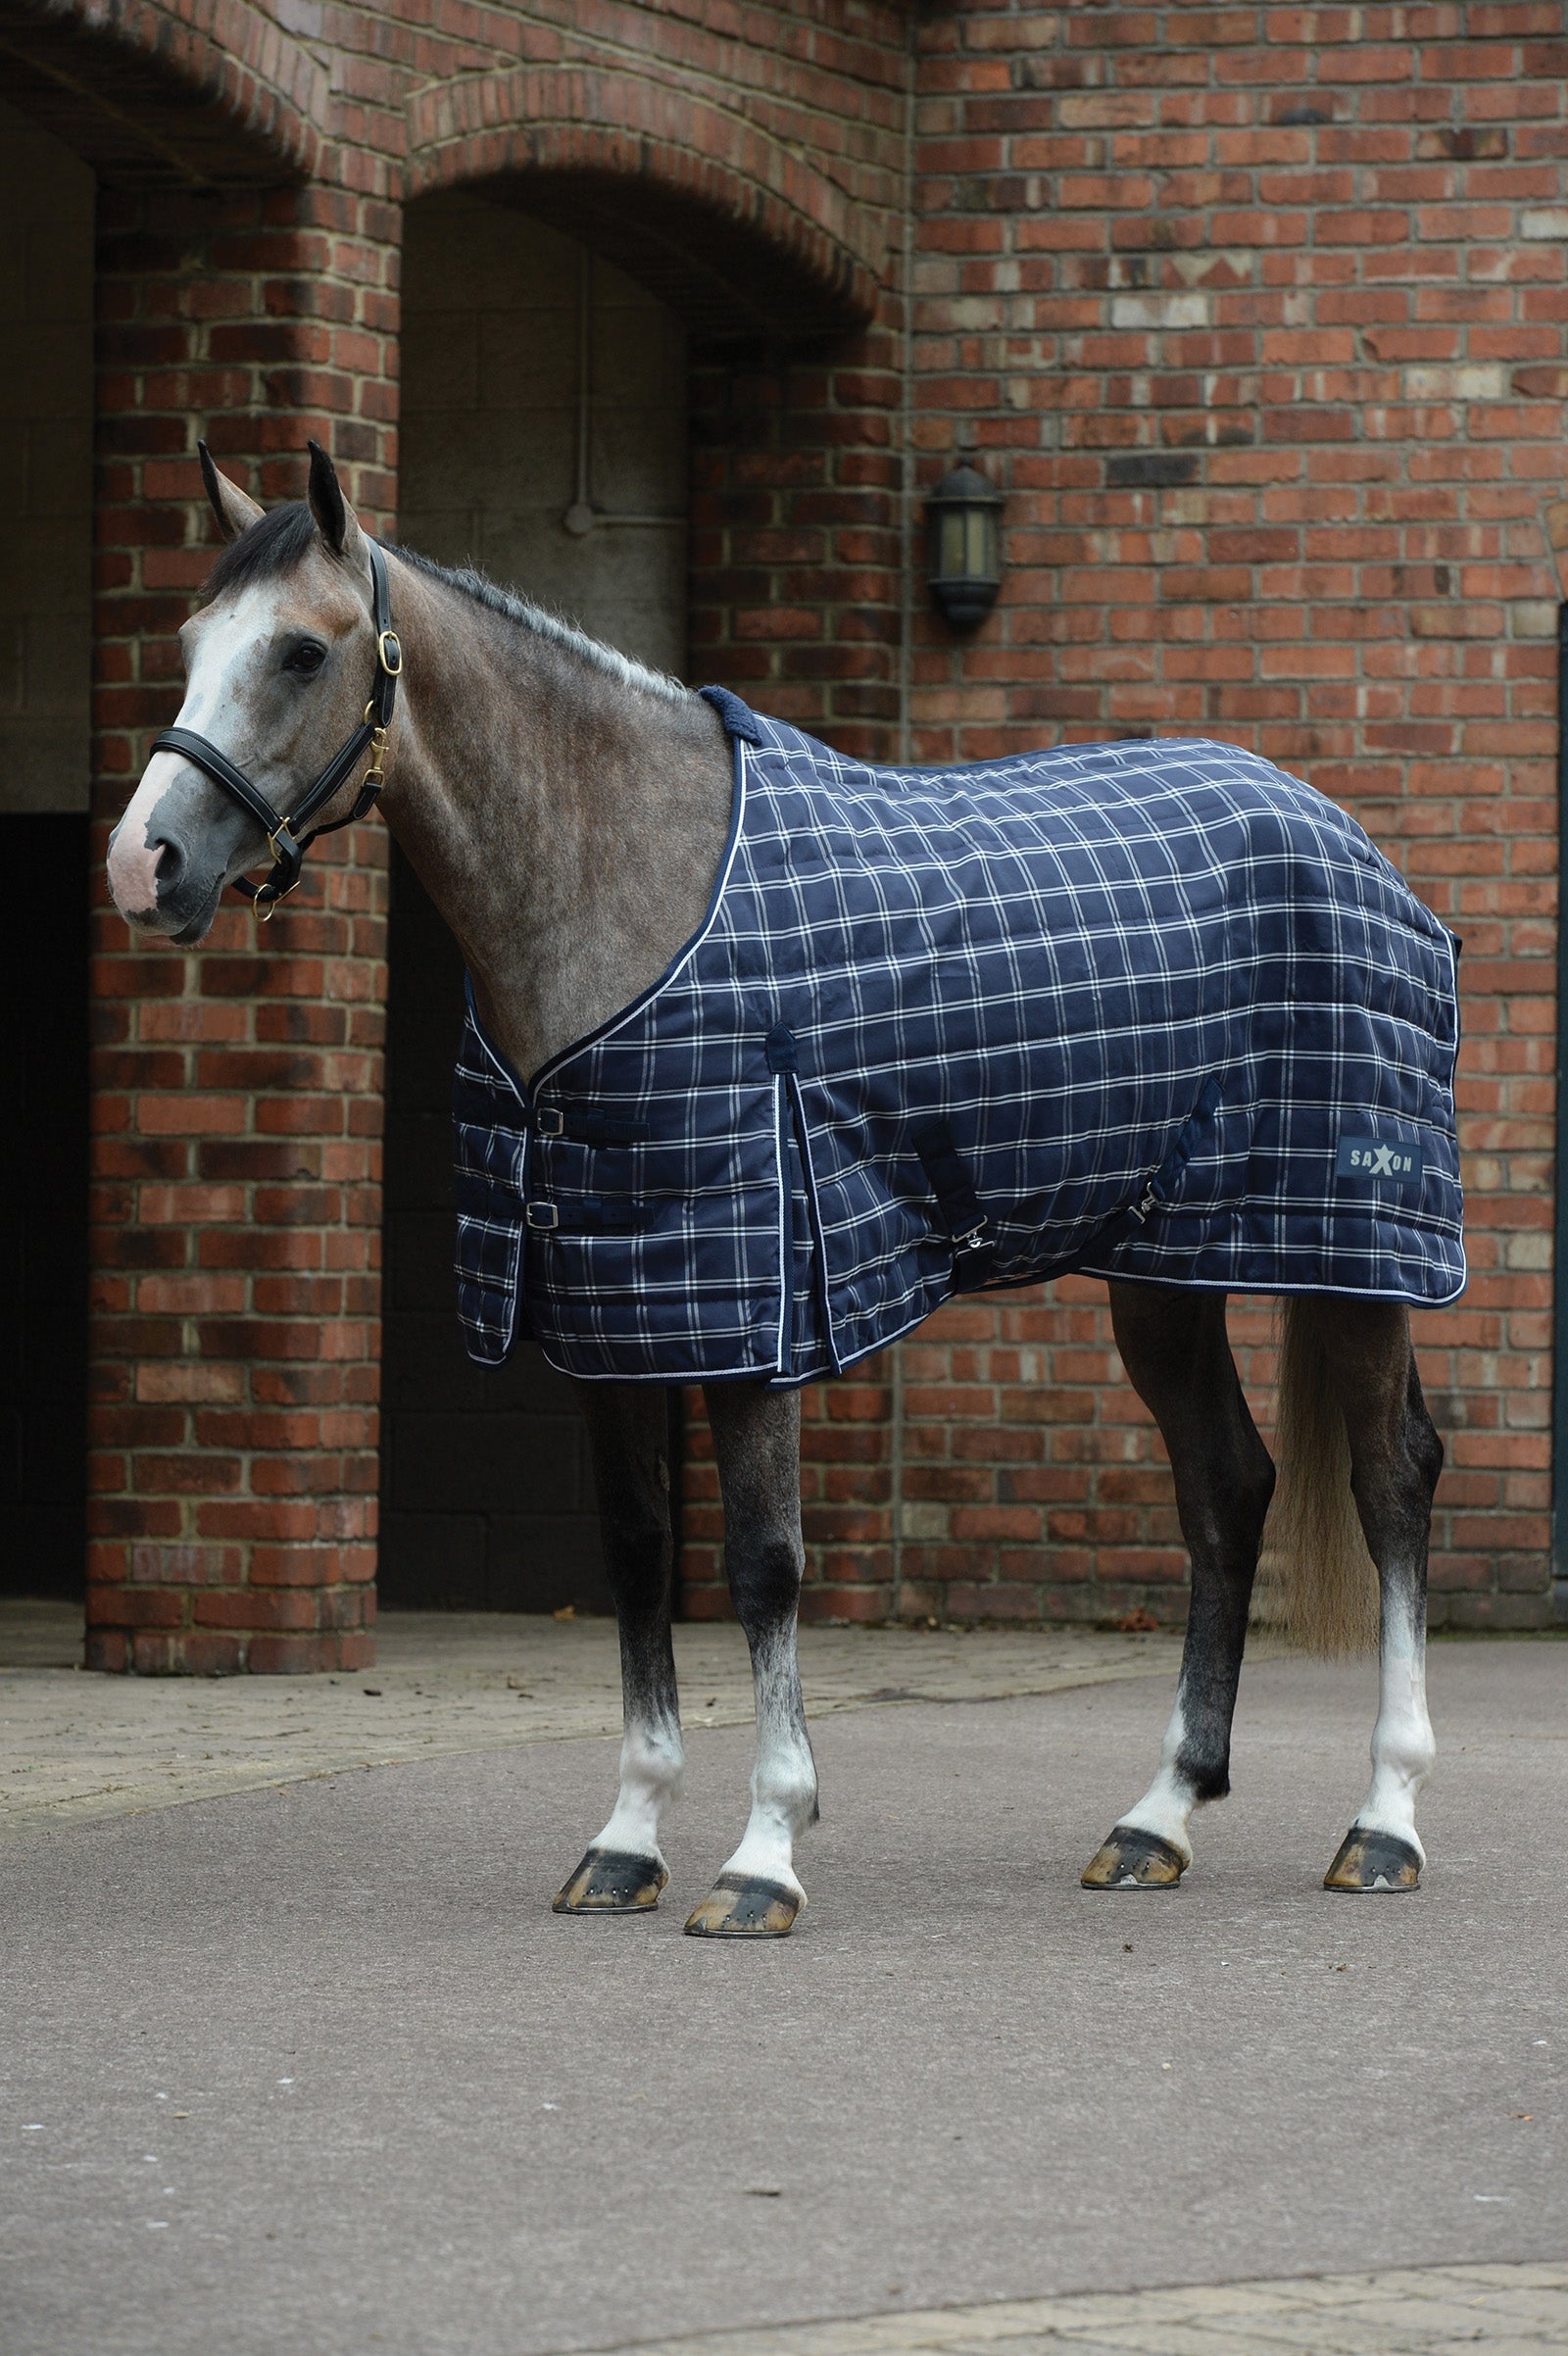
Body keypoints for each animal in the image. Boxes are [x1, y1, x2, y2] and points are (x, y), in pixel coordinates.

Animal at [106, 442, 1458, 1935]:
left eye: (299, 650)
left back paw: (1385, 1822)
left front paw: (763, 1854)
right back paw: (1155, 1819)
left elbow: (763, 1565)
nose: (142, 865)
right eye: (188, 643)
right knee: (1226, 1486)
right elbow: (640, 1553)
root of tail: (1343, 836)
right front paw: (626, 1843)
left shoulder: (751, 1299)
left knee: (1393, 1481)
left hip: (1361, 1252)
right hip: (1163, 1269)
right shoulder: (610, 1309)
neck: (629, 889)